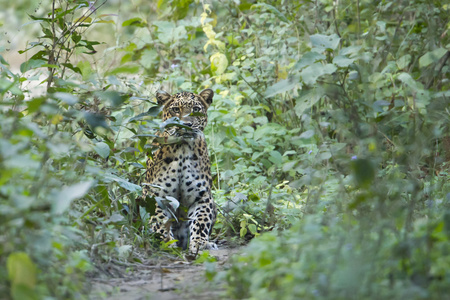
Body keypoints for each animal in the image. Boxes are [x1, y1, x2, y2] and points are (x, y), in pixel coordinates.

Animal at [142, 88, 216, 252]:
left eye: (196, 109)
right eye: (176, 109)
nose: (186, 124)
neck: (183, 148)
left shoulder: (202, 196)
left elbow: (201, 221)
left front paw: (200, 243)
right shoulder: (156, 195)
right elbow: (160, 221)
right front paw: (167, 242)